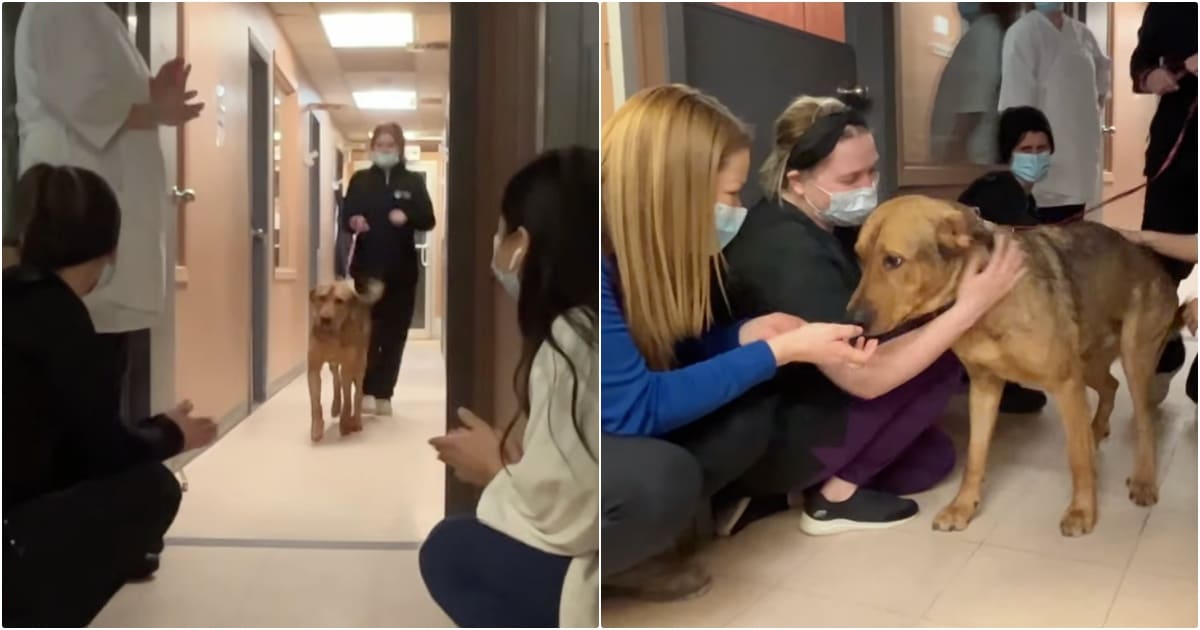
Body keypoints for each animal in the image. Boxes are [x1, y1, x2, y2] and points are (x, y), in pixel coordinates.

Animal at [307, 277, 381, 439]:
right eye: (321, 298)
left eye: (339, 301)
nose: (325, 319)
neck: (333, 335)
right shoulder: (314, 367)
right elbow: (315, 403)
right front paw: (317, 427)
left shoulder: (349, 366)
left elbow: (348, 399)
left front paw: (345, 422)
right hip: (334, 364)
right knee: (336, 379)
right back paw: (336, 405)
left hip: (360, 364)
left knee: (358, 393)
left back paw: (356, 420)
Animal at [849, 195, 1176, 535]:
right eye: (859, 257)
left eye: (893, 261)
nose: (853, 321)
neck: (985, 303)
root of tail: (1153, 262)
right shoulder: (984, 387)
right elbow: (975, 456)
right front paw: (962, 507)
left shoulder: (1066, 385)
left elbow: (1078, 458)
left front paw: (1082, 511)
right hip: (1087, 363)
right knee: (1110, 386)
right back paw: (1096, 431)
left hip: (1133, 359)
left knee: (1144, 421)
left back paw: (1143, 479)